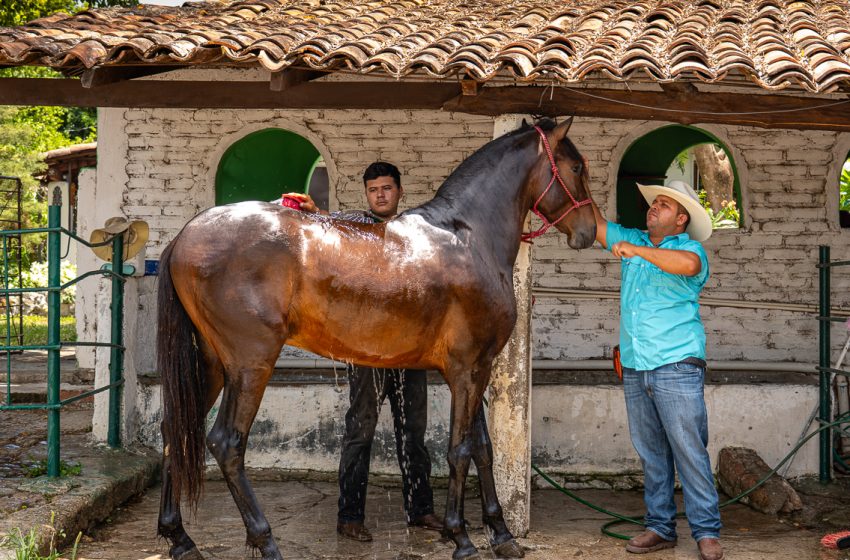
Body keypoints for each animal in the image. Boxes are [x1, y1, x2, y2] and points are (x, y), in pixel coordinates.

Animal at [155, 117, 596, 560]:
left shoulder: (478, 368)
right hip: (250, 365)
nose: (589, 232)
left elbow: (482, 450)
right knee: (226, 443)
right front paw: (462, 538)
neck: (468, 237)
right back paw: (266, 542)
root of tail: (184, 236)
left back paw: (180, 538)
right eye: (576, 167)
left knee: (176, 430)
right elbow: (460, 451)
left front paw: (502, 535)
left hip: (213, 363)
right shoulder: (466, 370)